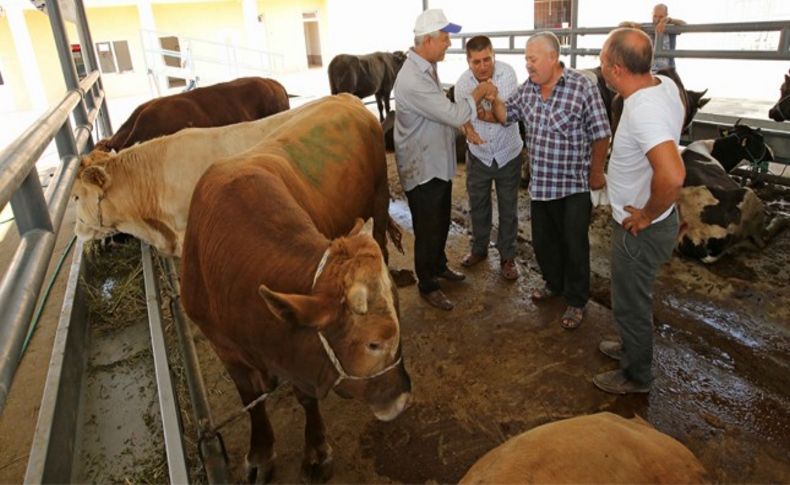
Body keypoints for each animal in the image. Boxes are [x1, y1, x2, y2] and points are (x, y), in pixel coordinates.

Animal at [182, 91, 412, 480]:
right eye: (373, 343)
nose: (403, 398)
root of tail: (345, 97)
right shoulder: (225, 348)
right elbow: (250, 401)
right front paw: (260, 451)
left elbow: (305, 397)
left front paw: (316, 450)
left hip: (380, 197)